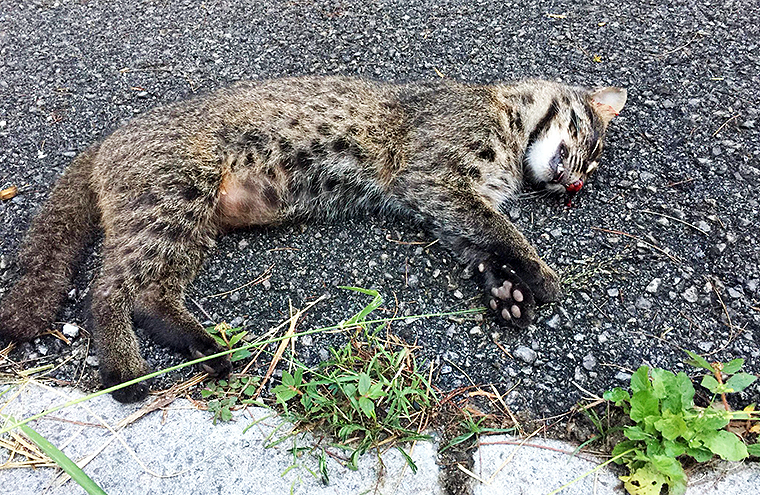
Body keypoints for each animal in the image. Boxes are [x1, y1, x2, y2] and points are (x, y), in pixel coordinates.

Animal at [0, 76, 628, 404]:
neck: (507, 122)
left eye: (593, 166)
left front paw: (506, 289)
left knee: (149, 294)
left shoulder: (443, 209)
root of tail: (108, 141)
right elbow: (503, 230)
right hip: (172, 202)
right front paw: (539, 272)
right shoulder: (434, 179)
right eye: (589, 145)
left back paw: (200, 346)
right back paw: (125, 371)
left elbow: (482, 247)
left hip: (189, 227)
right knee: (105, 291)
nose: (572, 184)